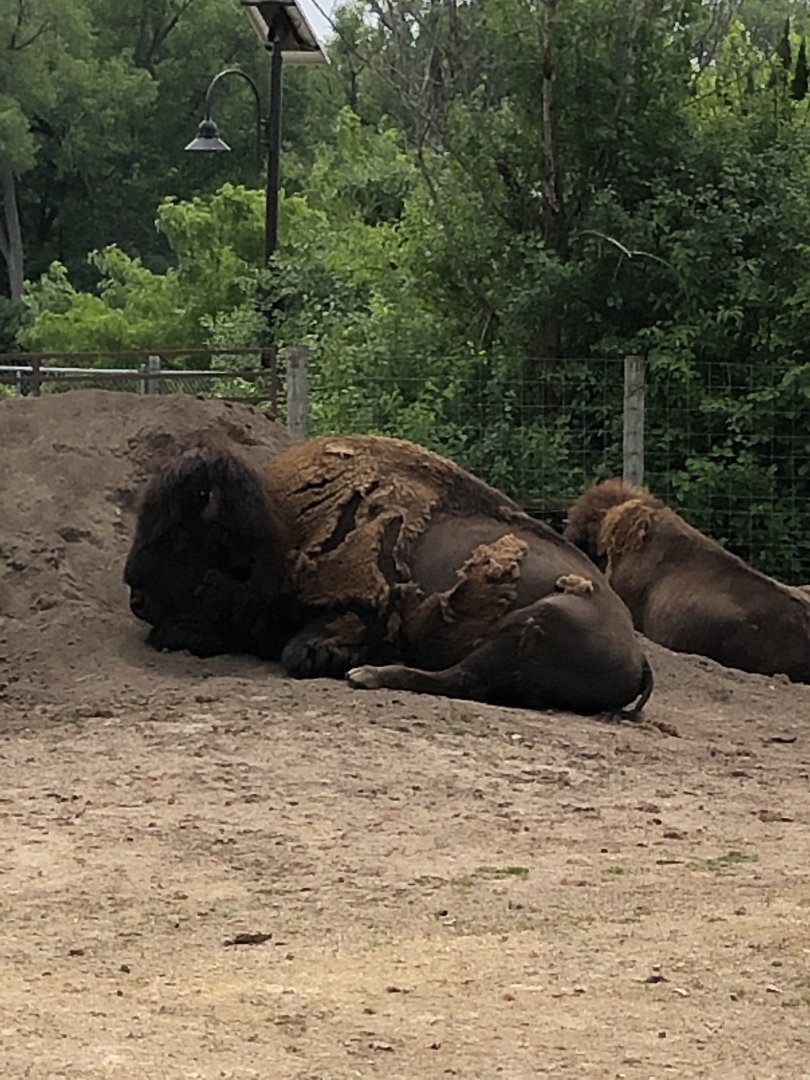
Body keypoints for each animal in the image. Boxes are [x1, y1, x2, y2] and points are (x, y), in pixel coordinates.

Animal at [125, 433, 652, 715]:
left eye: (178, 540)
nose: (136, 597)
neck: (279, 531)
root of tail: (638, 655)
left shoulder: (359, 613)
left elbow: (302, 649)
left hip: (537, 620)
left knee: (461, 678)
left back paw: (366, 675)